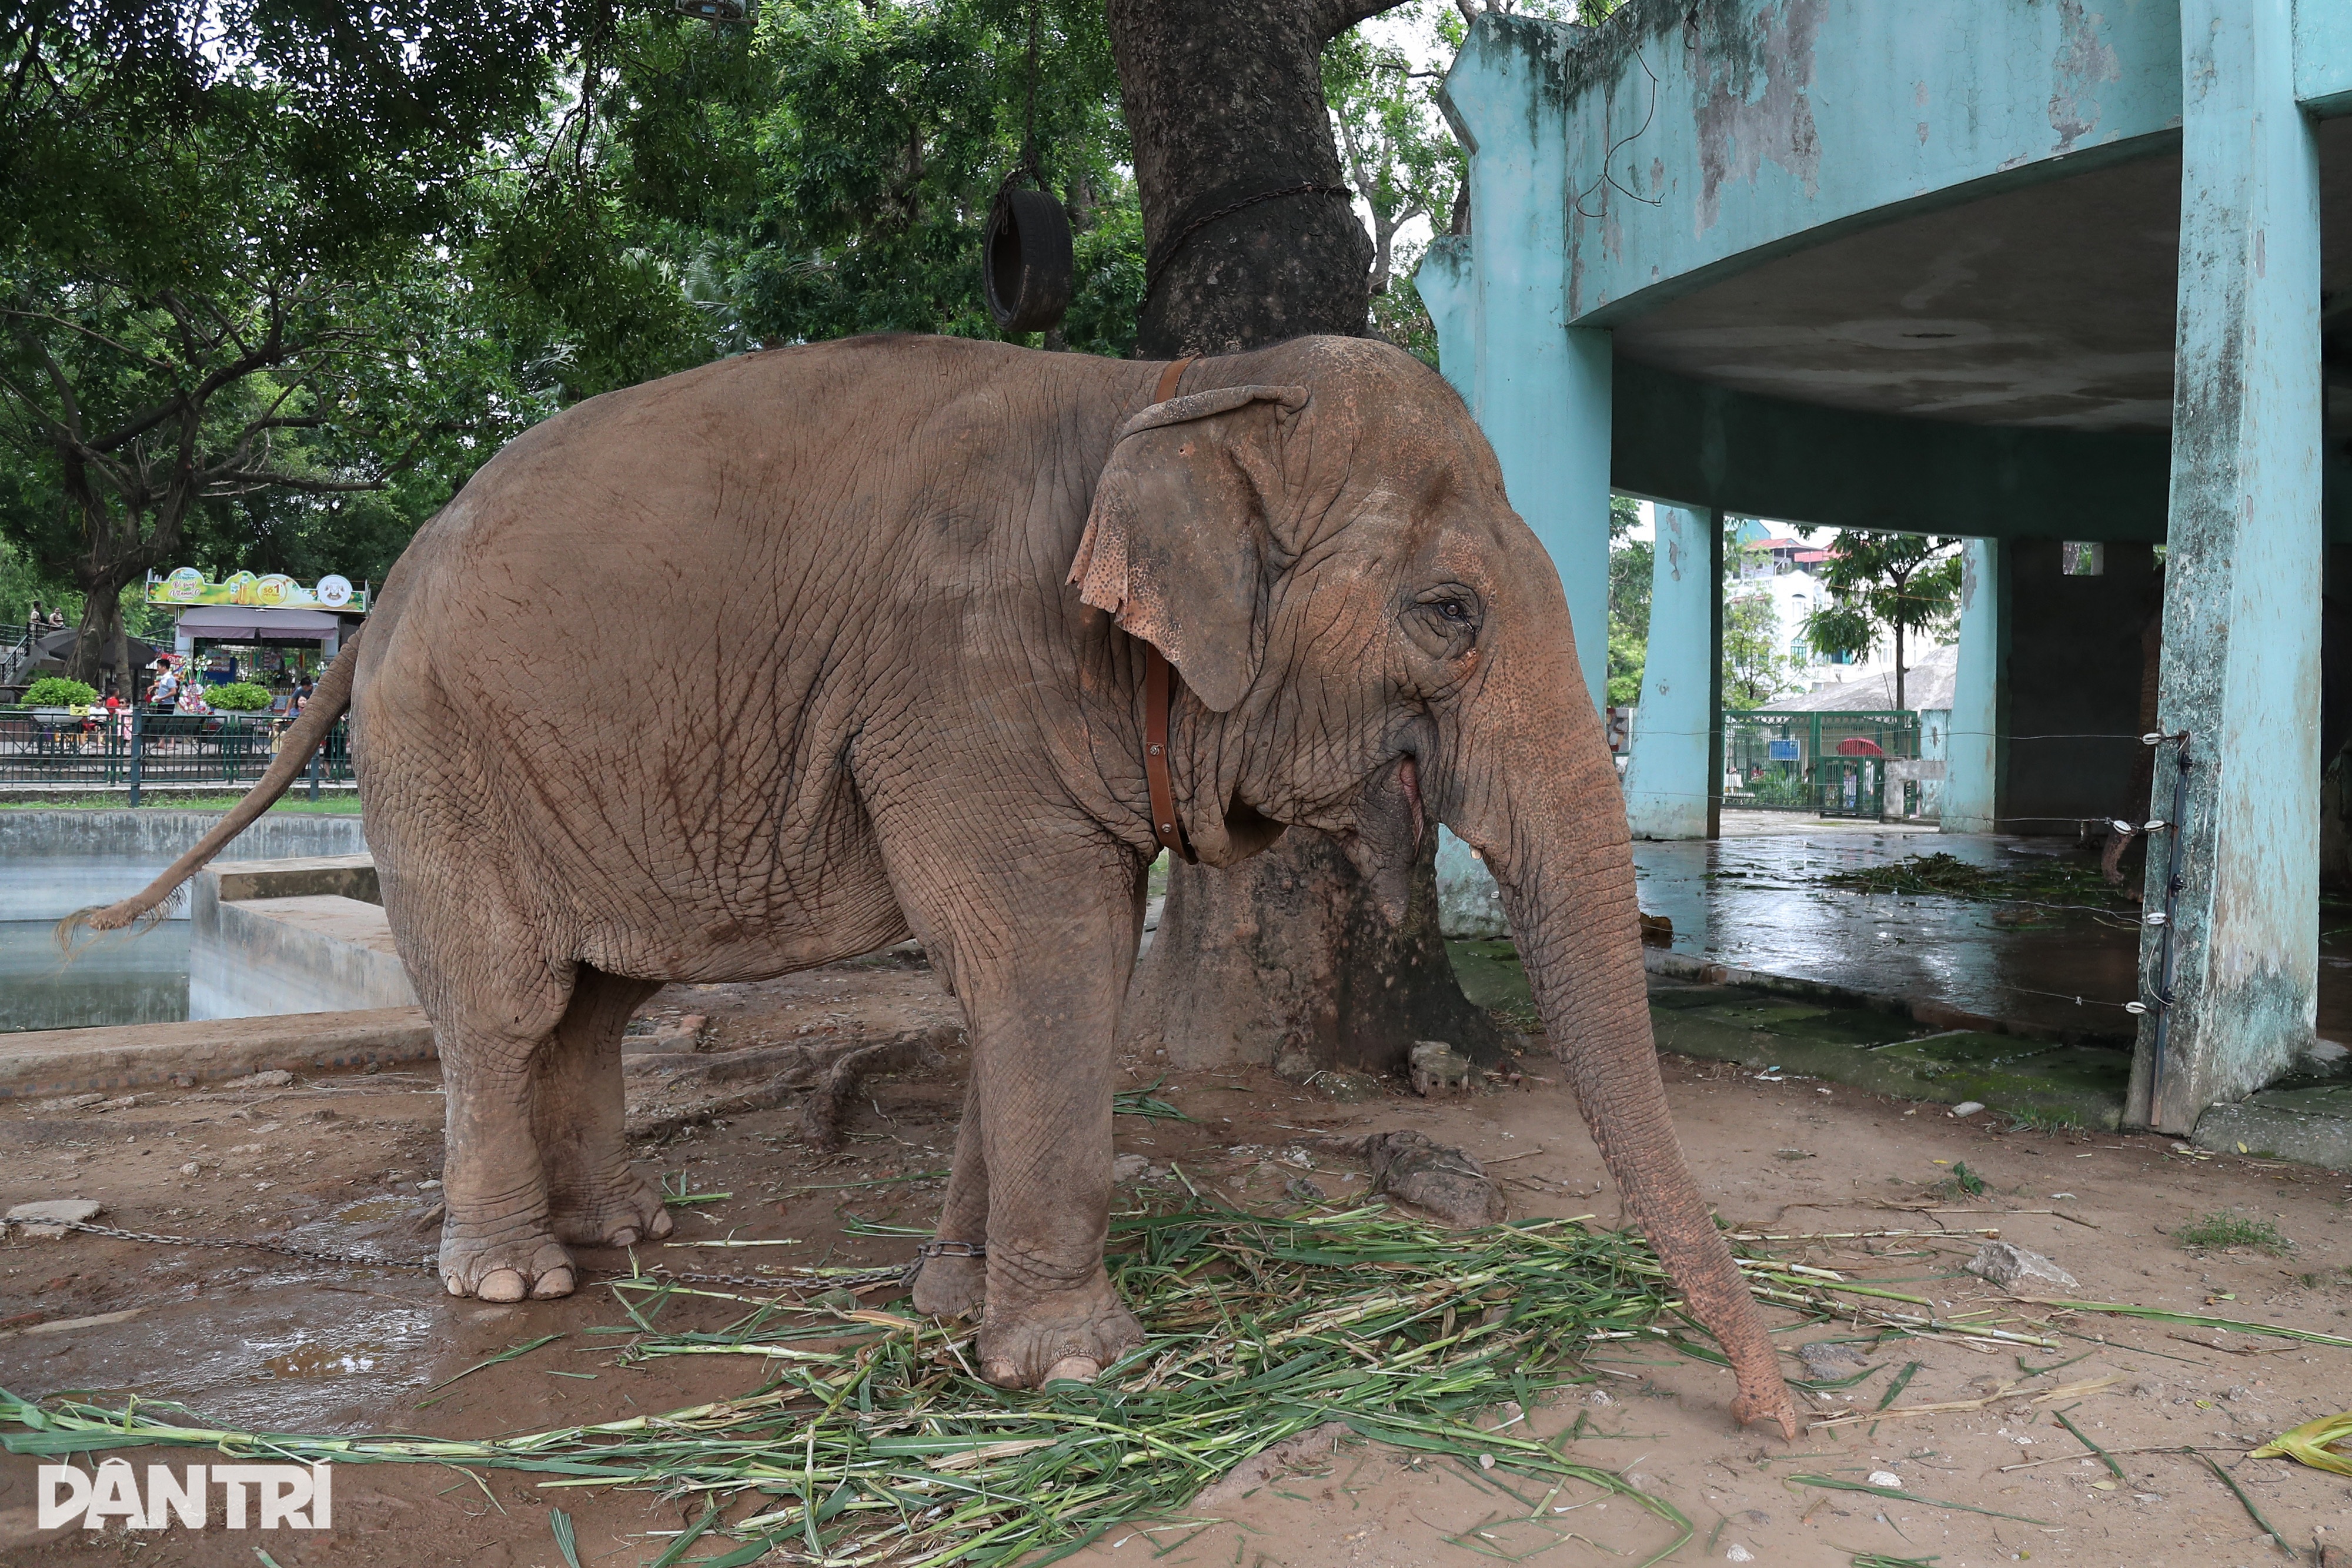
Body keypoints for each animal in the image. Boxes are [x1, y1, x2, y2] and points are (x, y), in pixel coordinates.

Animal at [80, 332, 1798, 1436]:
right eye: (1448, 612)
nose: (1772, 1412)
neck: (1170, 391)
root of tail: (369, 607)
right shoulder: (968, 674)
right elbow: (1044, 961)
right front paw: (1078, 1370)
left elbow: (1039, 974)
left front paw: (947, 1306)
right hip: (439, 758)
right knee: (504, 1006)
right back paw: (515, 1279)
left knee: (599, 998)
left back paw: (631, 1229)